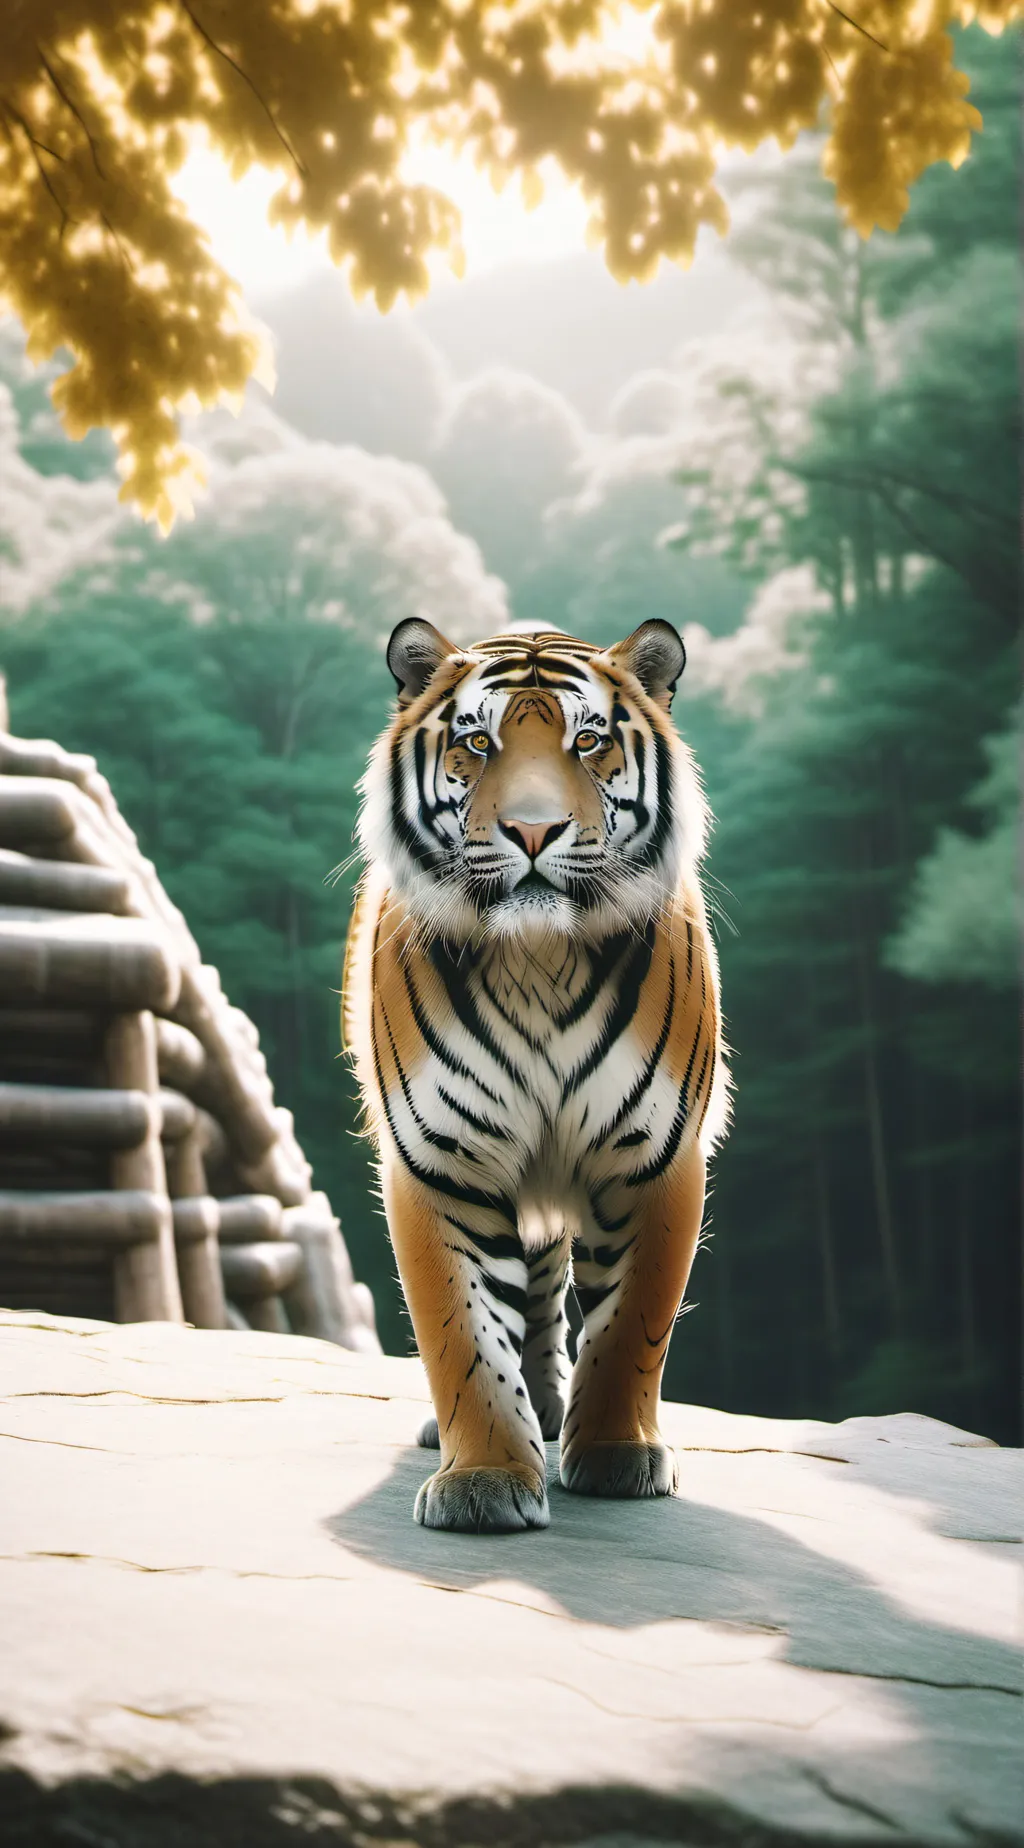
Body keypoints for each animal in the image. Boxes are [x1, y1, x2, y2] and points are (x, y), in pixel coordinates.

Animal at [343, 617, 729, 1533]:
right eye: (476, 742)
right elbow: (464, 1333)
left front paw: (619, 1454)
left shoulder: (656, 1156)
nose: (532, 831)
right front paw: (483, 1477)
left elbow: (632, 1323)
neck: (538, 957)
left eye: (587, 741)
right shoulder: (441, 1161)